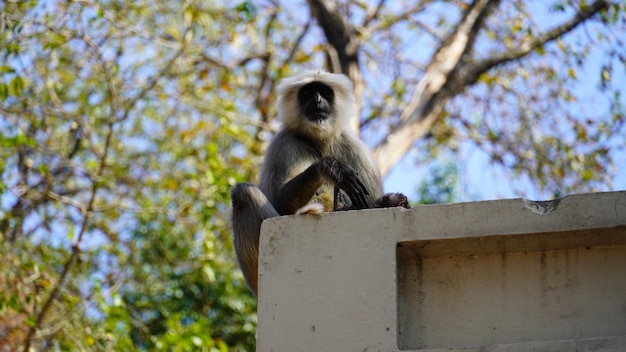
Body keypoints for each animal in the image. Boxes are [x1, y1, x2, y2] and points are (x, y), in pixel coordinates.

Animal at [229, 69, 410, 294]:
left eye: (324, 92)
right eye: (308, 93)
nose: (317, 101)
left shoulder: (353, 145)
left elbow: (369, 204)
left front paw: (388, 202)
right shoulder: (284, 143)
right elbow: (281, 205)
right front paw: (329, 168)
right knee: (244, 192)